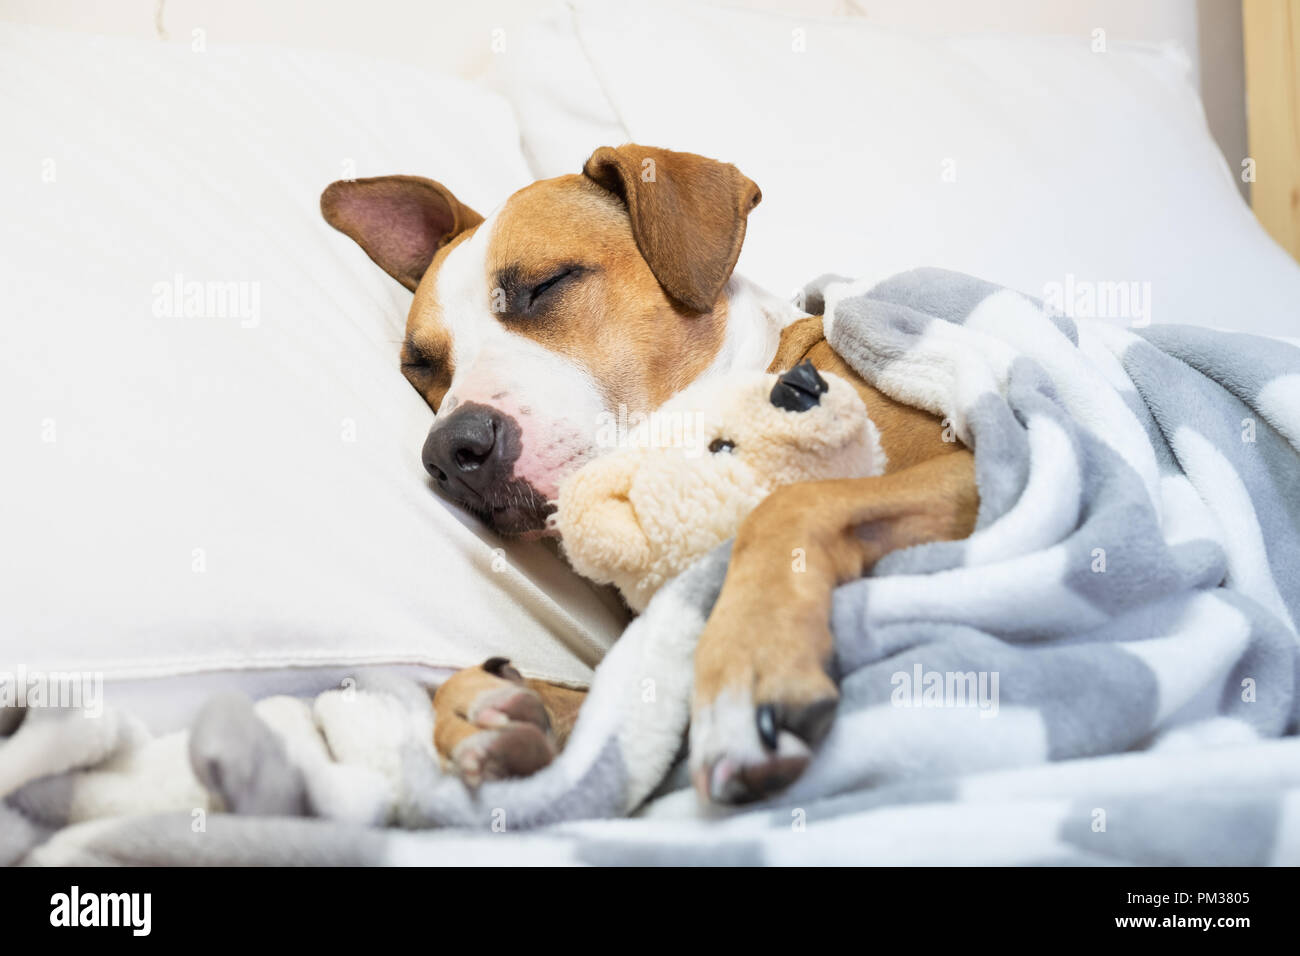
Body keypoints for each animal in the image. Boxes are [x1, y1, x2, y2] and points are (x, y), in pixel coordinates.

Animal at [322, 145, 977, 806]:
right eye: (421, 366)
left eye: (545, 285)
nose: (450, 449)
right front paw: (495, 710)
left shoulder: (970, 466)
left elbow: (789, 509)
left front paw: (748, 665)